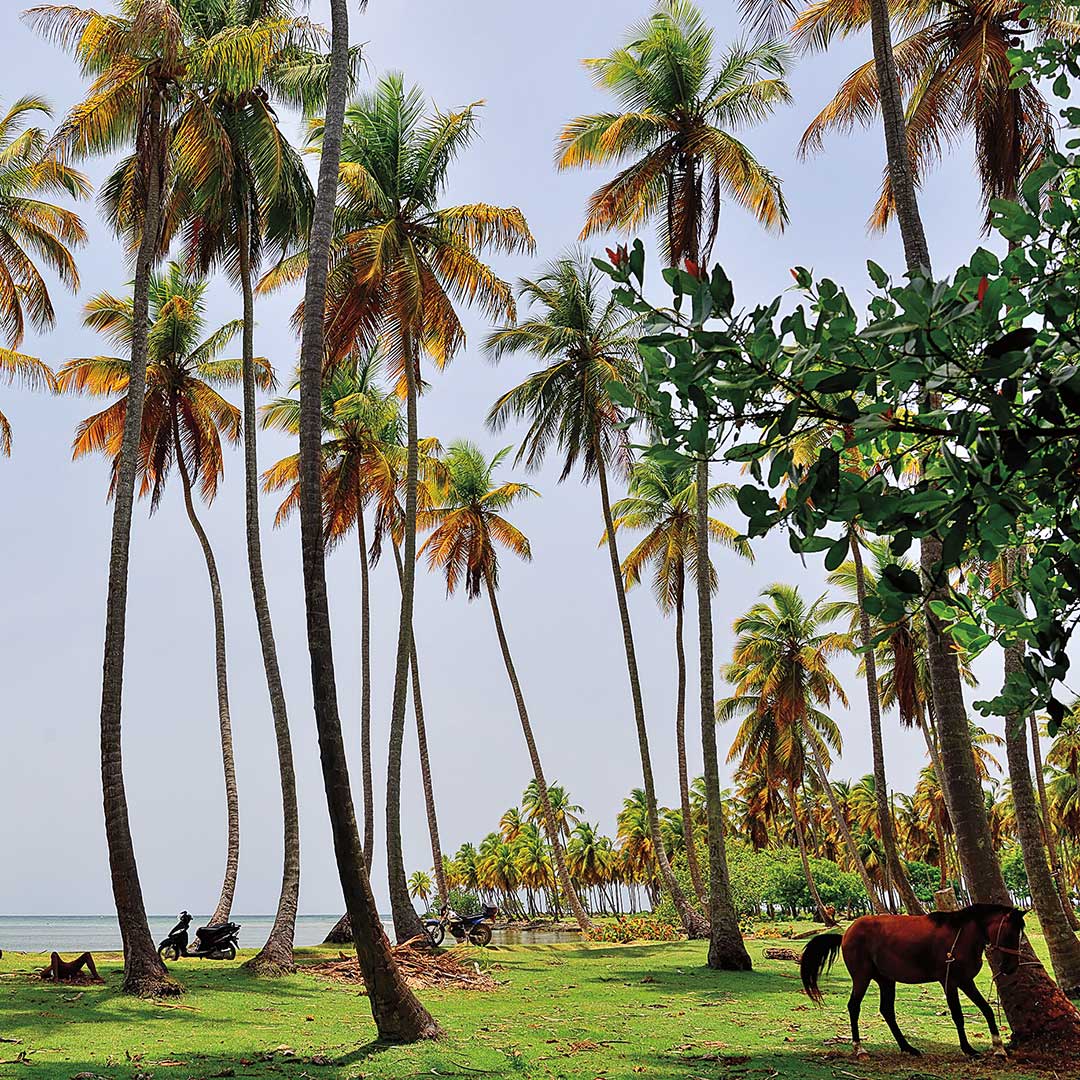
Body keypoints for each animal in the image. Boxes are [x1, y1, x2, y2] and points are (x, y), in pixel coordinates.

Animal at [803, 898, 1019, 1058]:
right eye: (1010, 933)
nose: (1011, 967)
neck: (961, 935)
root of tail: (846, 934)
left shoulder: (965, 981)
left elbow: (987, 1010)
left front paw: (999, 1048)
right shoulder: (949, 982)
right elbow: (958, 1015)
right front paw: (968, 1049)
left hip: (886, 980)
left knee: (887, 1011)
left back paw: (907, 1047)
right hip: (862, 978)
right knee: (854, 1007)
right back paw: (859, 1048)